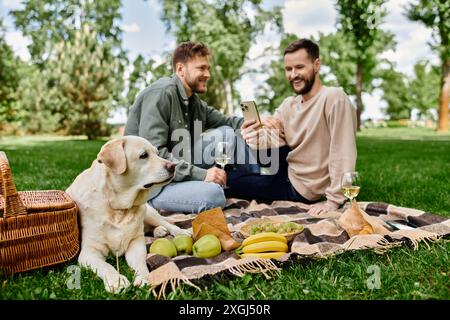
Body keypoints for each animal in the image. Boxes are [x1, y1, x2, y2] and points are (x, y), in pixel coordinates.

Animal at [66, 135, 189, 292]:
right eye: (143, 155)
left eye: (157, 153)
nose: (173, 166)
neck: (117, 208)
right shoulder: (89, 252)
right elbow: (106, 266)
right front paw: (116, 280)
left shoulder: (136, 244)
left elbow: (141, 265)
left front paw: (144, 279)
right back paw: (159, 231)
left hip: (148, 212)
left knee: (167, 223)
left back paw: (176, 231)